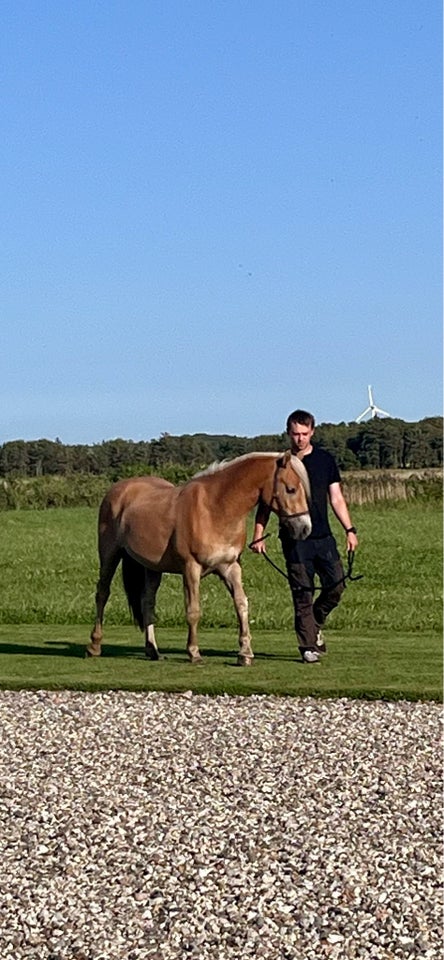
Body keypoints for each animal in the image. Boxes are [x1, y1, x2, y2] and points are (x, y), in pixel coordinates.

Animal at [86, 452, 308, 668]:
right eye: (291, 489)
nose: (305, 528)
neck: (215, 508)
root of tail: (119, 489)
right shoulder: (191, 568)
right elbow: (193, 610)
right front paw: (194, 653)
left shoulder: (231, 567)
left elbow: (241, 604)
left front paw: (245, 653)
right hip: (110, 555)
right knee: (102, 594)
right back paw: (94, 646)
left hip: (151, 567)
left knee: (147, 602)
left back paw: (152, 650)